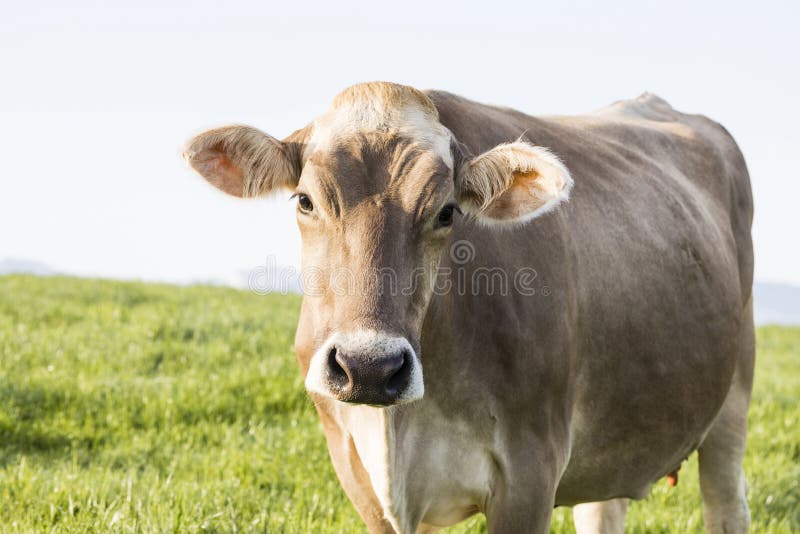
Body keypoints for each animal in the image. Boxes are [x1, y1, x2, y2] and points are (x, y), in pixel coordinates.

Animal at [184, 81, 752, 532]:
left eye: (446, 212)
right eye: (304, 201)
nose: (369, 368)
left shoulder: (530, 471)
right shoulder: (359, 475)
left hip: (733, 401)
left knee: (726, 503)